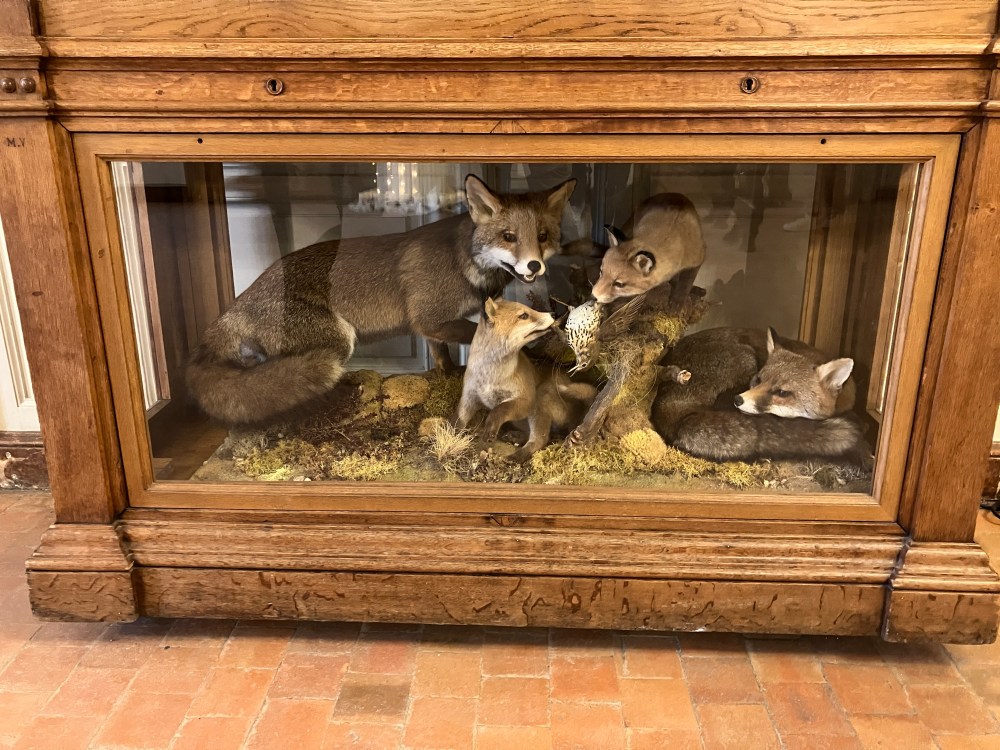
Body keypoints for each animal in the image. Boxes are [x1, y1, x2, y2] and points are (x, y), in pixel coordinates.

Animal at [187, 174, 576, 424]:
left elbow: (440, 354)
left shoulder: (432, 328)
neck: (463, 262)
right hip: (339, 340)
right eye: (509, 237)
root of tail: (236, 304)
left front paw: (446, 372)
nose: (534, 265)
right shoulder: (430, 317)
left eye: (542, 236)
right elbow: (470, 336)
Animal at [455, 298, 597, 463]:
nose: (553, 313)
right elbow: (457, 421)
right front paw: (450, 437)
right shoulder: (468, 398)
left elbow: (499, 409)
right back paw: (515, 437)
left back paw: (516, 456)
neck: (491, 376)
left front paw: (490, 427)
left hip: (541, 397)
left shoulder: (526, 399)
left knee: (541, 440)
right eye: (523, 316)